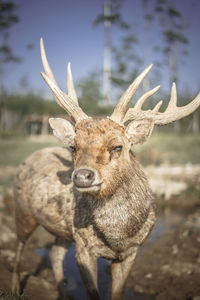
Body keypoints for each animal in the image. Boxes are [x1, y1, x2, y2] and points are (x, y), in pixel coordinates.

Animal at [11, 37, 200, 300]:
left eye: (117, 146)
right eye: (73, 147)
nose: (82, 175)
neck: (118, 238)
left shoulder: (133, 251)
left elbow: (117, 293)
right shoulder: (83, 246)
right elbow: (93, 293)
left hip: (62, 231)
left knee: (55, 252)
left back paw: (63, 292)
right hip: (22, 209)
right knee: (18, 247)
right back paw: (14, 288)